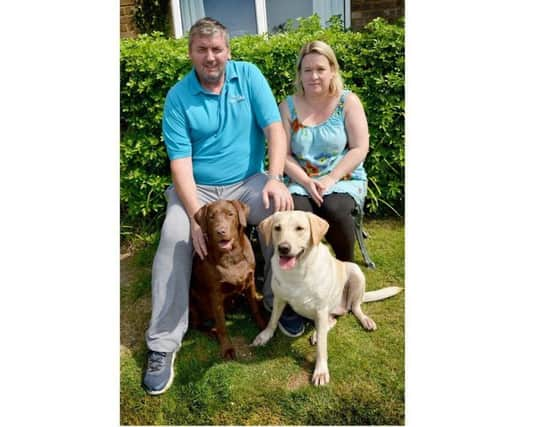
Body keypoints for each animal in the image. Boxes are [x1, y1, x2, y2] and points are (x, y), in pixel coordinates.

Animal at [189, 199, 266, 360]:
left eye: (230, 214)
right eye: (211, 217)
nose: (221, 231)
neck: (232, 257)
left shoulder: (250, 282)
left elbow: (255, 308)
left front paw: (263, 326)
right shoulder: (215, 294)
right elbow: (222, 325)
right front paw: (227, 348)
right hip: (191, 300)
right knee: (197, 325)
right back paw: (213, 332)